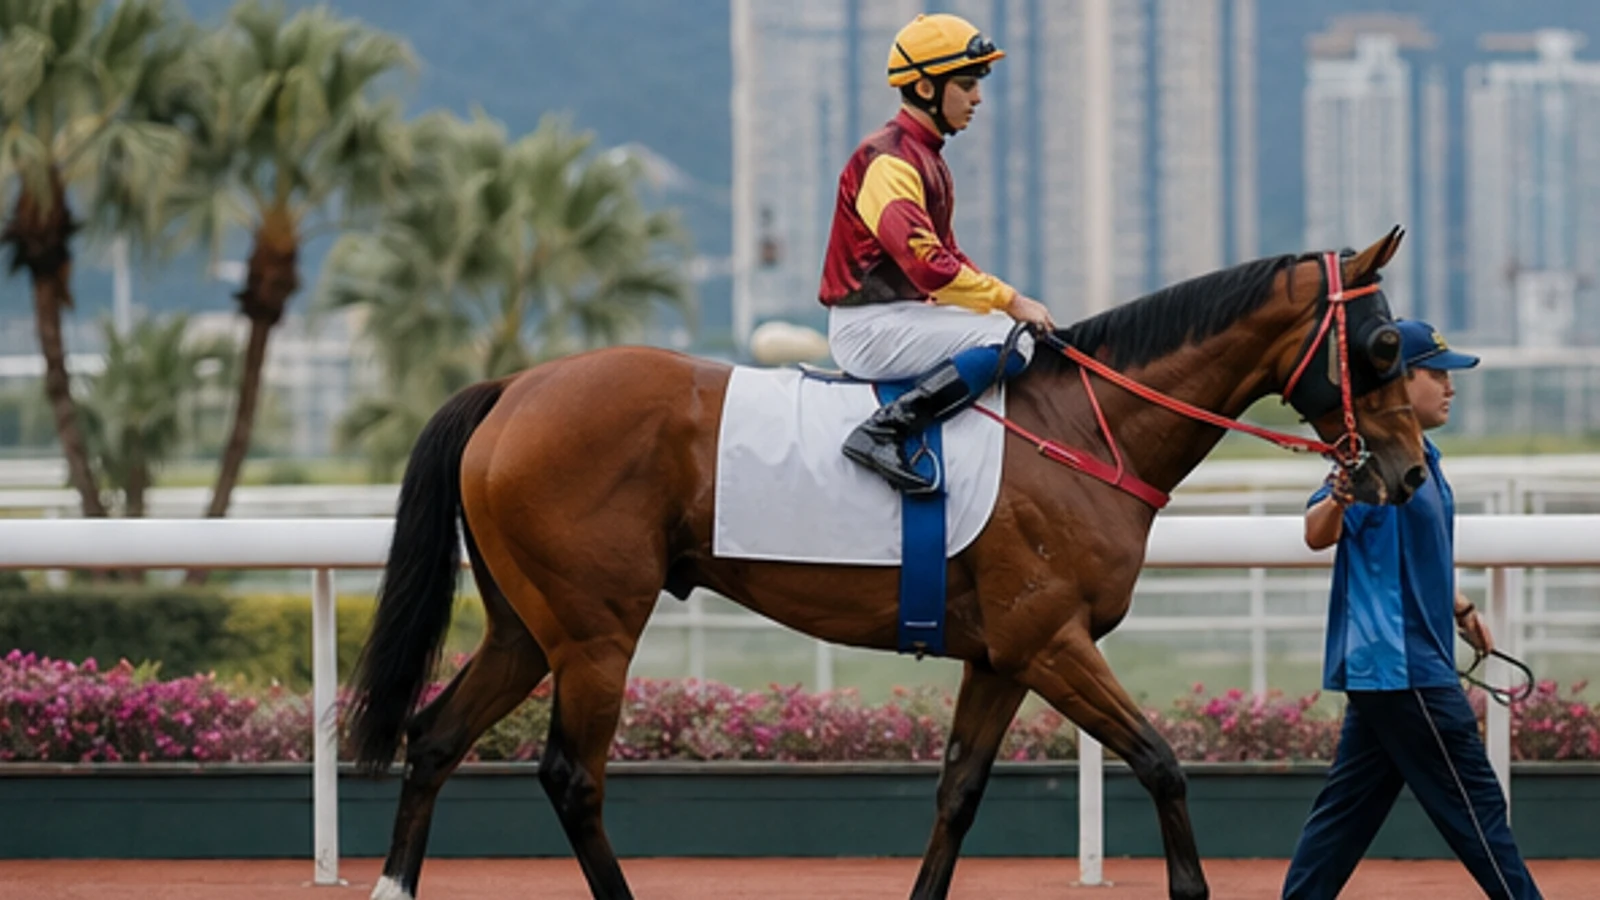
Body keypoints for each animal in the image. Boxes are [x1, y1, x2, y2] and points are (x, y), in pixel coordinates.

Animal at [348, 229, 1427, 900]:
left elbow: (958, 794)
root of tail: (511, 387)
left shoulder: (1000, 657)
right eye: (1383, 342)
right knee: (572, 776)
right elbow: (1162, 765)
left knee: (434, 739)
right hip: (595, 632)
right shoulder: (1052, 641)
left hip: (528, 628)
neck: (1087, 429)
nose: (1411, 472)